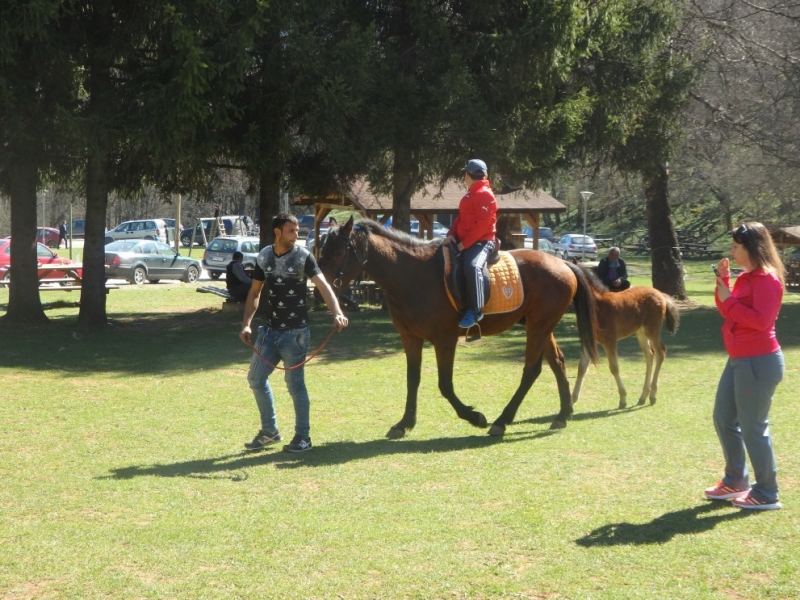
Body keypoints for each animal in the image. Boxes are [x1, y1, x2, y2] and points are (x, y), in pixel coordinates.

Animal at [316, 216, 596, 436]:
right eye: (321, 251)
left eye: (338, 253)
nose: (321, 289)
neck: (413, 275)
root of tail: (563, 263)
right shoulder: (410, 337)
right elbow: (412, 379)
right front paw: (404, 423)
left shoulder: (445, 339)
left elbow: (445, 384)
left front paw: (475, 417)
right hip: (541, 325)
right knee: (557, 363)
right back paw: (562, 415)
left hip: (538, 326)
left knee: (531, 370)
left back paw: (502, 421)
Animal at [568, 276, 680, 408]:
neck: (597, 305)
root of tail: (661, 294)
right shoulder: (588, 341)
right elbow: (581, 368)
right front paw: (571, 400)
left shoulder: (610, 341)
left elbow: (614, 368)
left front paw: (623, 399)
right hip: (641, 333)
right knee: (650, 355)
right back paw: (643, 397)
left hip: (652, 331)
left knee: (661, 352)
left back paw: (652, 395)